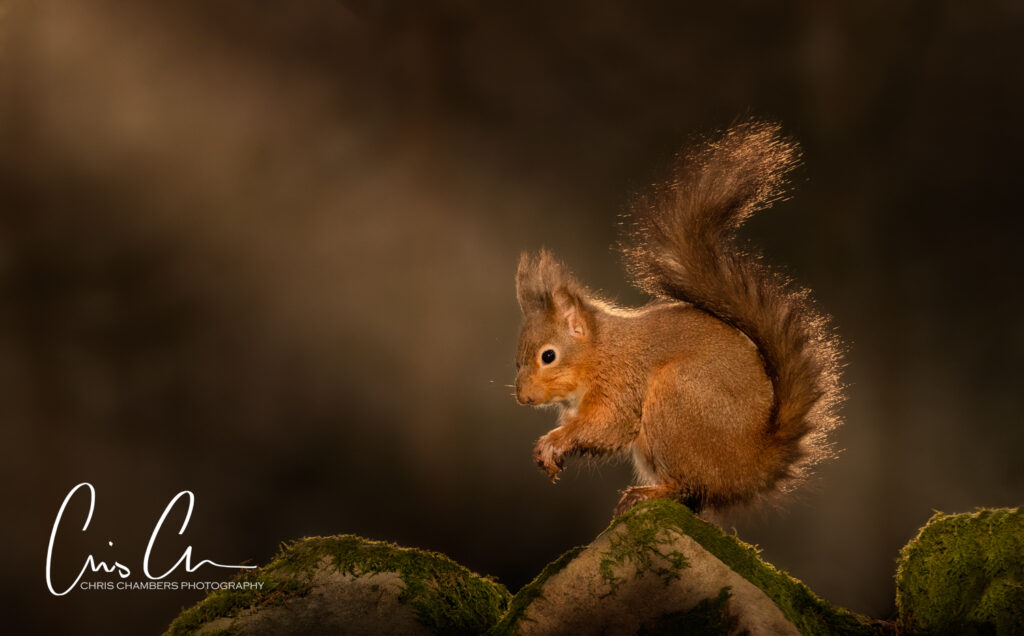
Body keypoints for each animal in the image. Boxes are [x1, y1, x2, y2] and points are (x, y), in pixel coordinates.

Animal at [513, 121, 843, 518]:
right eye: (515, 360)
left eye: (548, 356)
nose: (523, 398)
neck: (600, 352)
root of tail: (751, 467)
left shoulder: (621, 382)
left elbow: (608, 425)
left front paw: (556, 440)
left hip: (676, 402)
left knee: (689, 487)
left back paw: (649, 493)